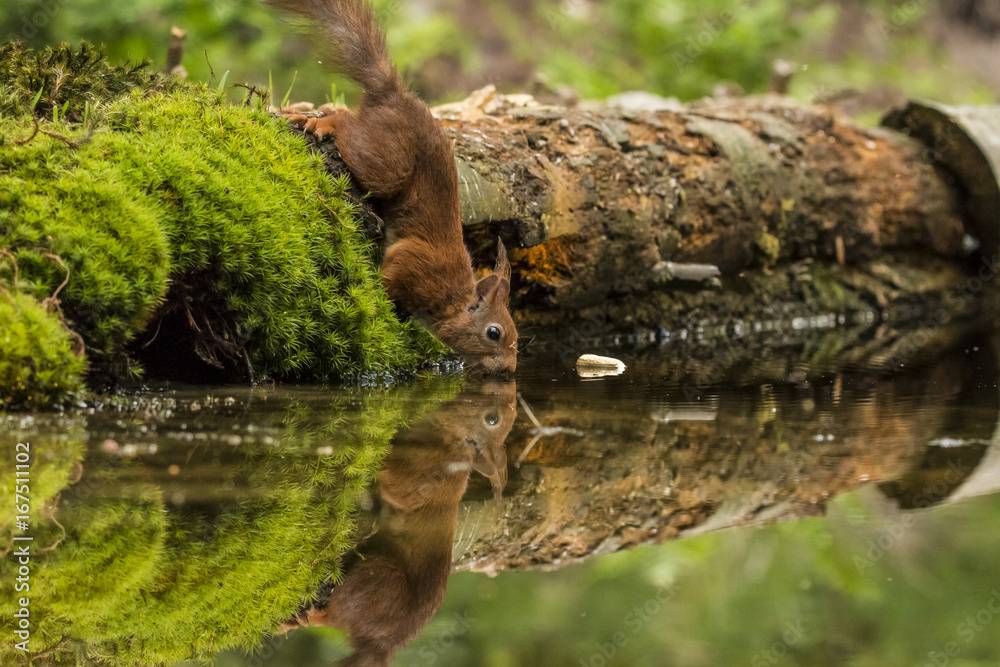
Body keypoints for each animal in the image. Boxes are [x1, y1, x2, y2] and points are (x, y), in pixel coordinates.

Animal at [269, 0, 518, 374]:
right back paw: (320, 121)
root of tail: (396, 95)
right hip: (385, 164)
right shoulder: (412, 265)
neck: (453, 296)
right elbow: (389, 277)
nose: (509, 371)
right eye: (493, 333)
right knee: (349, 125)